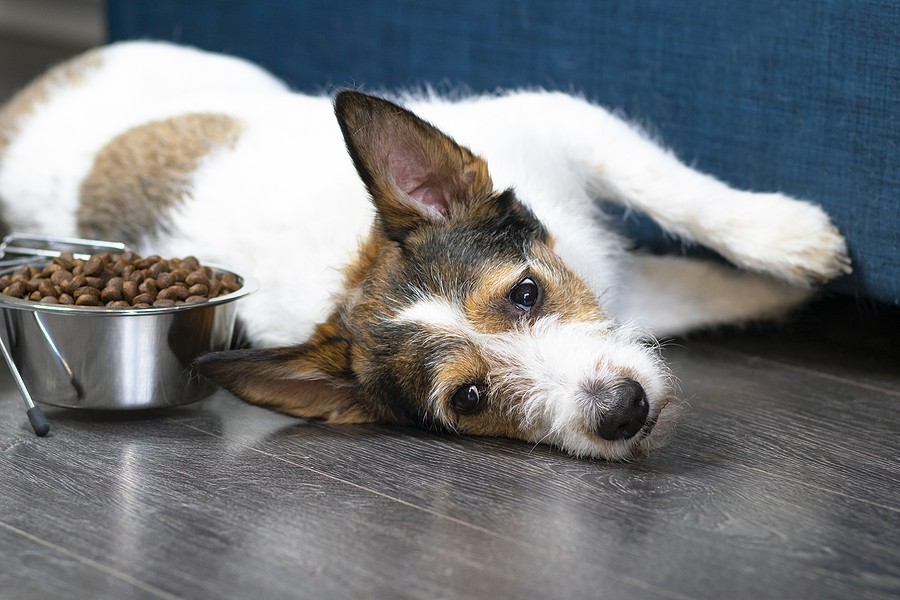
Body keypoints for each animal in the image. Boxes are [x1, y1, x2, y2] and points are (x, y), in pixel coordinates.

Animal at [0, 42, 852, 460]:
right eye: (469, 398)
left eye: (526, 293)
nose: (623, 412)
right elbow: (688, 294)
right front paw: (780, 290)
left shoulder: (561, 124)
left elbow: (672, 188)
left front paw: (791, 244)